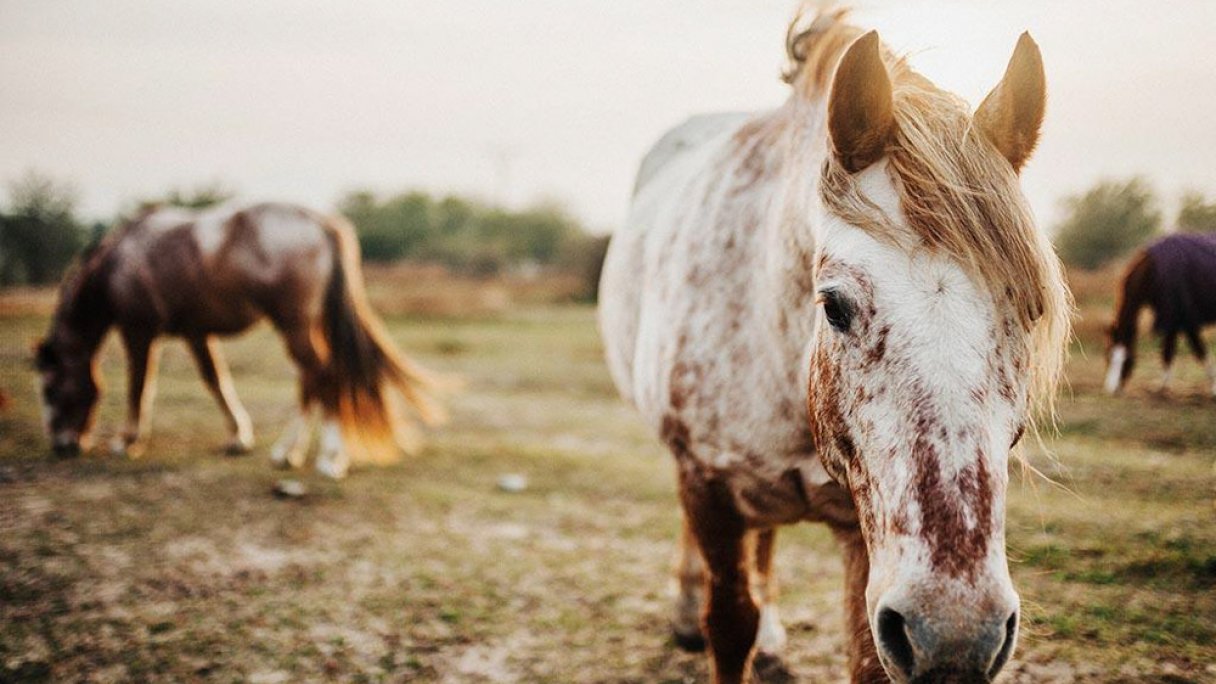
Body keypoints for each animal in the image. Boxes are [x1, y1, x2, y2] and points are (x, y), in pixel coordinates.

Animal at [30, 199, 442, 477]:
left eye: (50, 389)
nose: (61, 445)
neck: (118, 263)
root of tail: (321, 223)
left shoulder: (138, 331)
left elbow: (139, 385)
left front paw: (126, 441)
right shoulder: (196, 332)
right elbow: (215, 380)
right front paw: (239, 438)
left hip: (294, 325)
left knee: (324, 375)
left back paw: (328, 459)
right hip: (300, 327)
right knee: (312, 379)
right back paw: (288, 453)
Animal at [595, 10, 1065, 681]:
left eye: (1031, 310)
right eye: (835, 305)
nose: (955, 633)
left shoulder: (861, 532)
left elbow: (861, 651)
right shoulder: (707, 484)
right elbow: (728, 623)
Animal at [1104, 231, 1216, 394]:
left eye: (1127, 358)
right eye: (1108, 355)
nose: (1112, 391)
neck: (1152, 271)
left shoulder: (1183, 320)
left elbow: (1195, 351)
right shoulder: (1176, 321)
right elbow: (1171, 352)